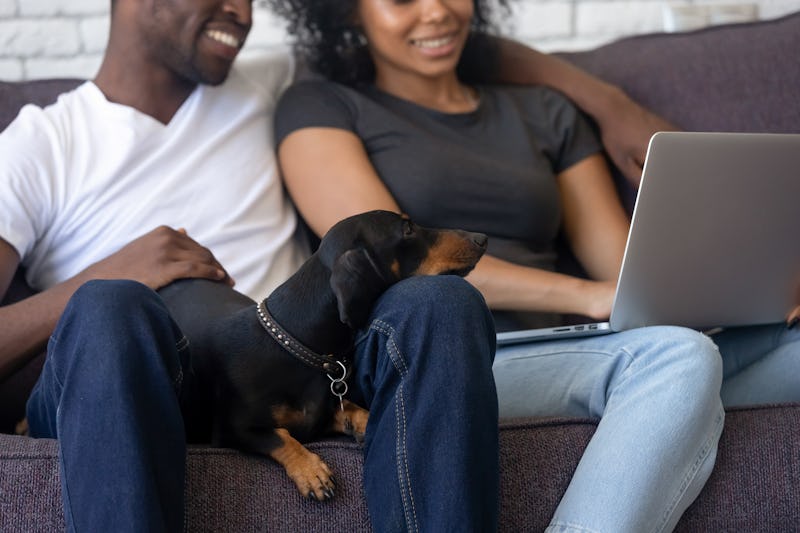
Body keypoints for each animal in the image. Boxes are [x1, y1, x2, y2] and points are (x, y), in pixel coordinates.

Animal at [158, 211, 488, 498]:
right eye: (407, 229)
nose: (482, 238)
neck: (292, 346)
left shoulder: (320, 414)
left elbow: (347, 408)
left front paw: (364, 421)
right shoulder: (232, 430)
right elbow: (279, 435)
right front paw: (311, 472)